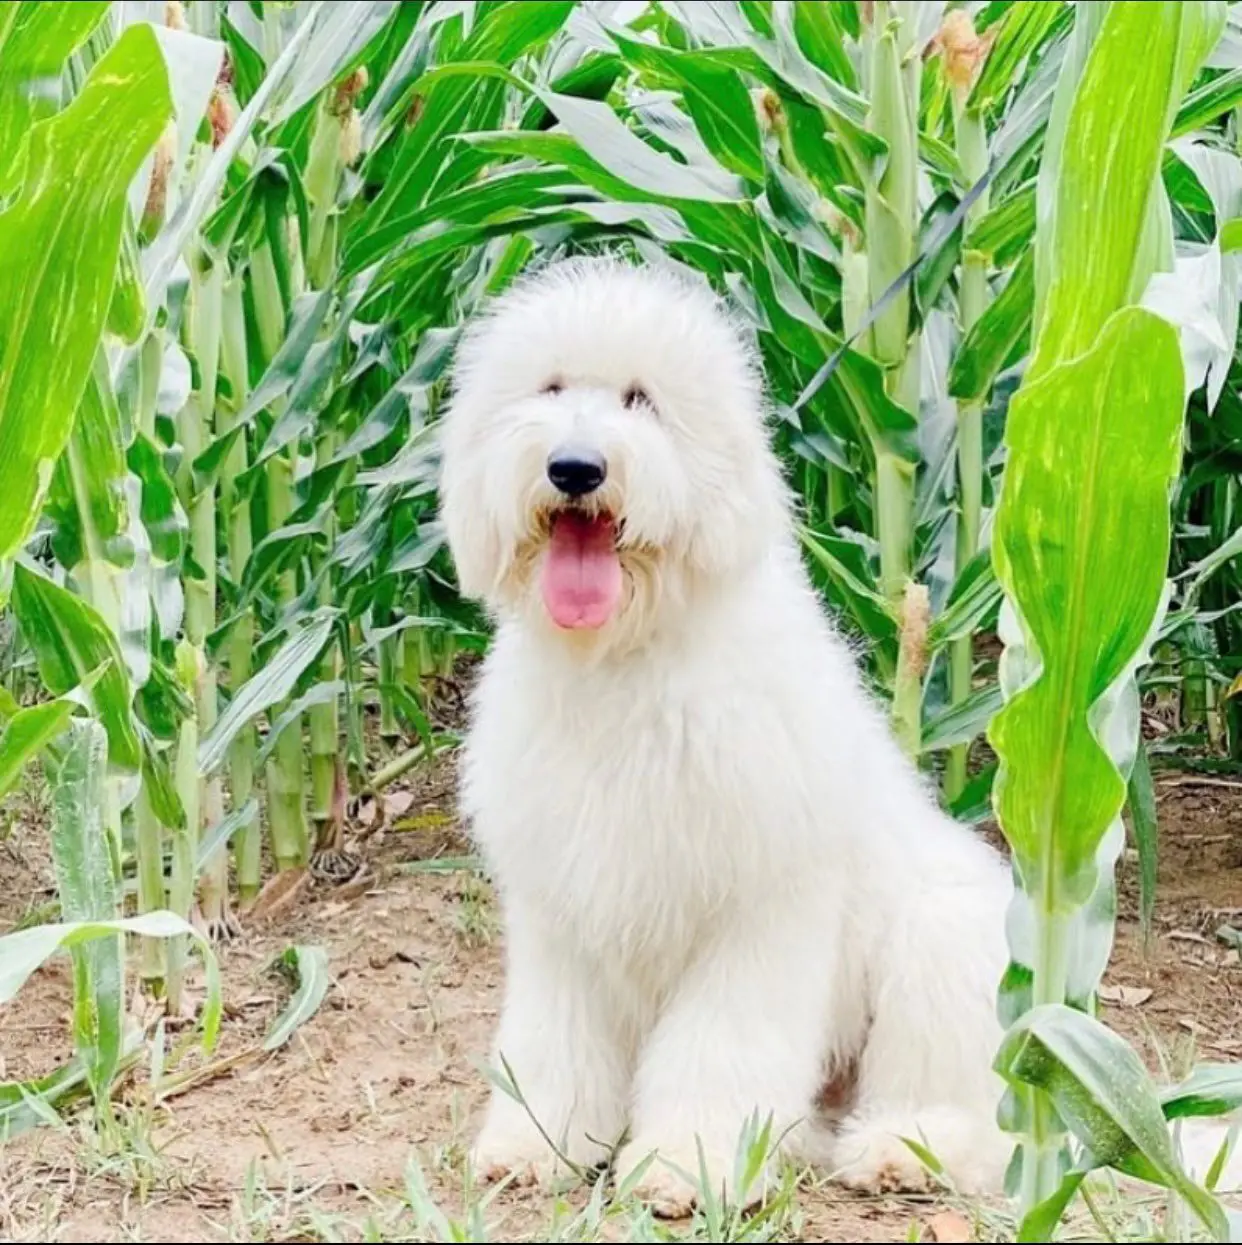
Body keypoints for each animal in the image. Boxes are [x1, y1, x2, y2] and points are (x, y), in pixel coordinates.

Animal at [443, 255, 1015, 1215]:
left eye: (641, 398)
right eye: (550, 387)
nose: (574, 467)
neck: (626, 662)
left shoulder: (756, 909)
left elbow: (718, 1049)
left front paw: (685, 1162)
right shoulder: (562, 911)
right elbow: (555, 1041)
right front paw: (535, 1143)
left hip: (948, 936)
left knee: (970, 1112)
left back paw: (900, 1148)